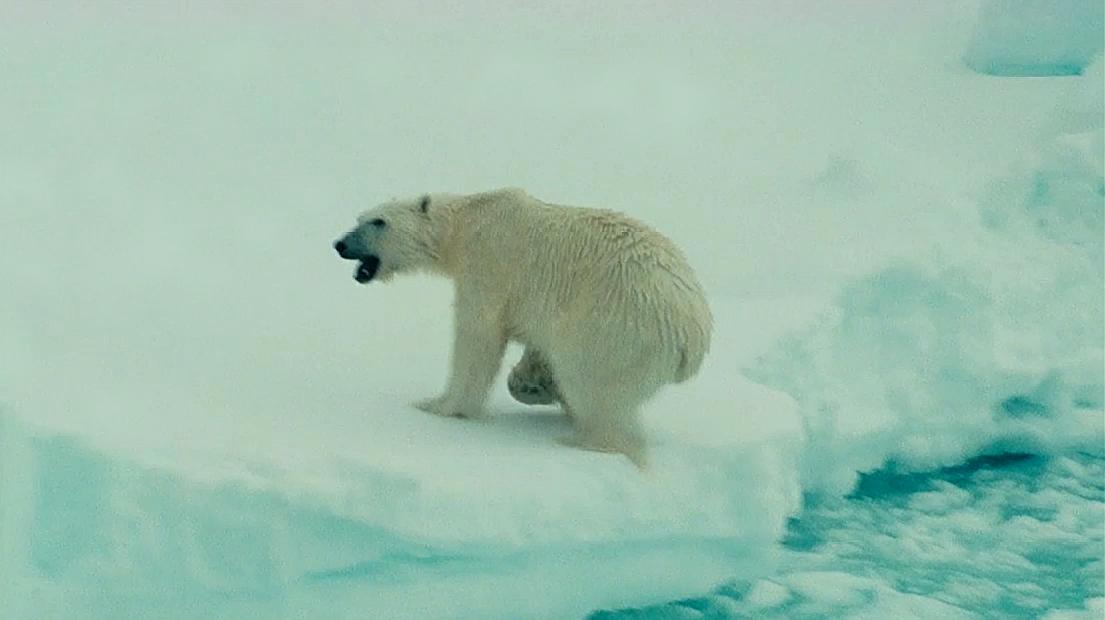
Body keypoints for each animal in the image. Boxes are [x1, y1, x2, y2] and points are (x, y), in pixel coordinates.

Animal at [331, 188, 711, 464]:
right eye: (360, 217)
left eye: (379, 222)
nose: (340, 244)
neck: (468, 223)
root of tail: (692, 338)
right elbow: (535, 348)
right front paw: (531, 384)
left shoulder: (490, 265)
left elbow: (477, 337)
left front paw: (439, 405)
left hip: (615, 327)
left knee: (588, 380)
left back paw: (581, 440)